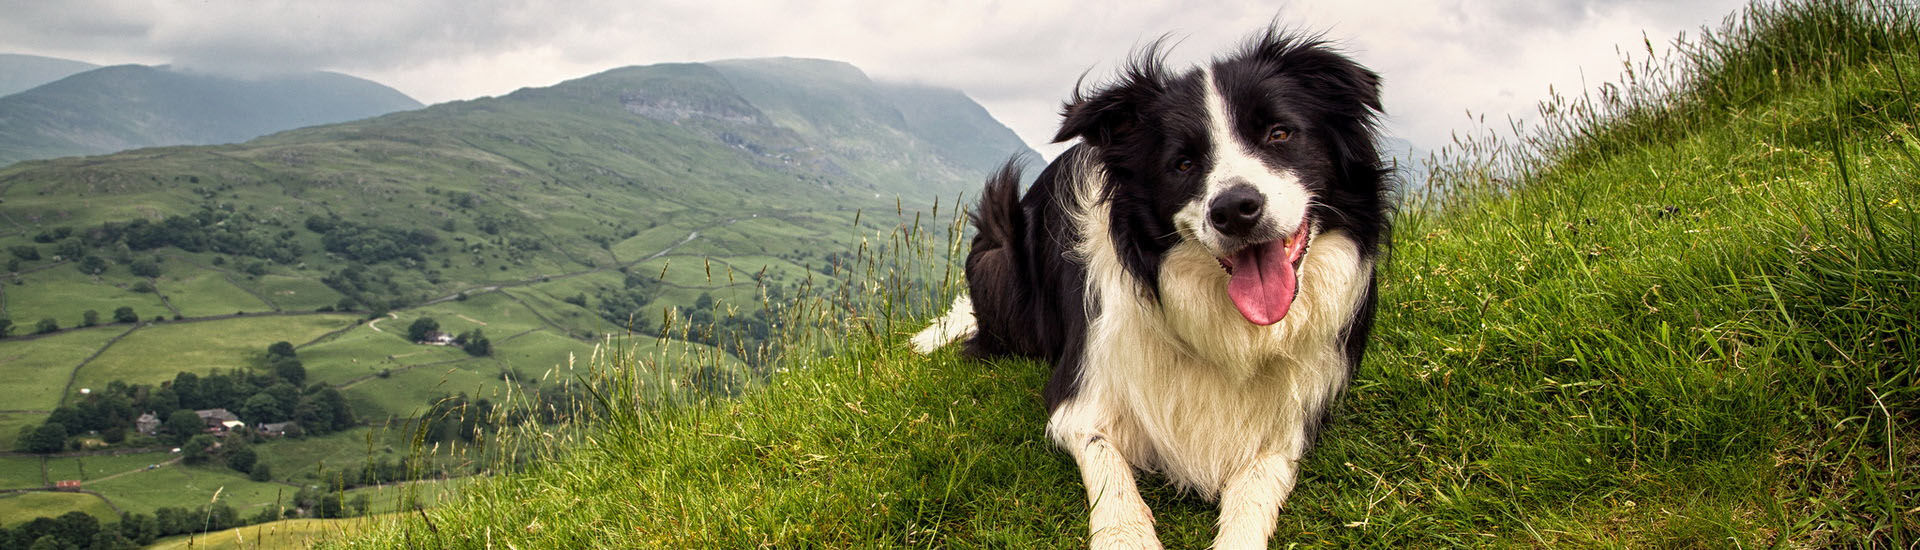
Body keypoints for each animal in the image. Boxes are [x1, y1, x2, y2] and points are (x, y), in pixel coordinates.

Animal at [913, 30, 1382, 550]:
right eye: (1183, 163)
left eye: (1279, 134)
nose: (1235, 209)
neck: (1224, 326)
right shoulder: (1081, 394)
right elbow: (1107, 463)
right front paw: (1126, 533)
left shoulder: (1290, 423)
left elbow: (1256, 491)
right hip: (998, 248)